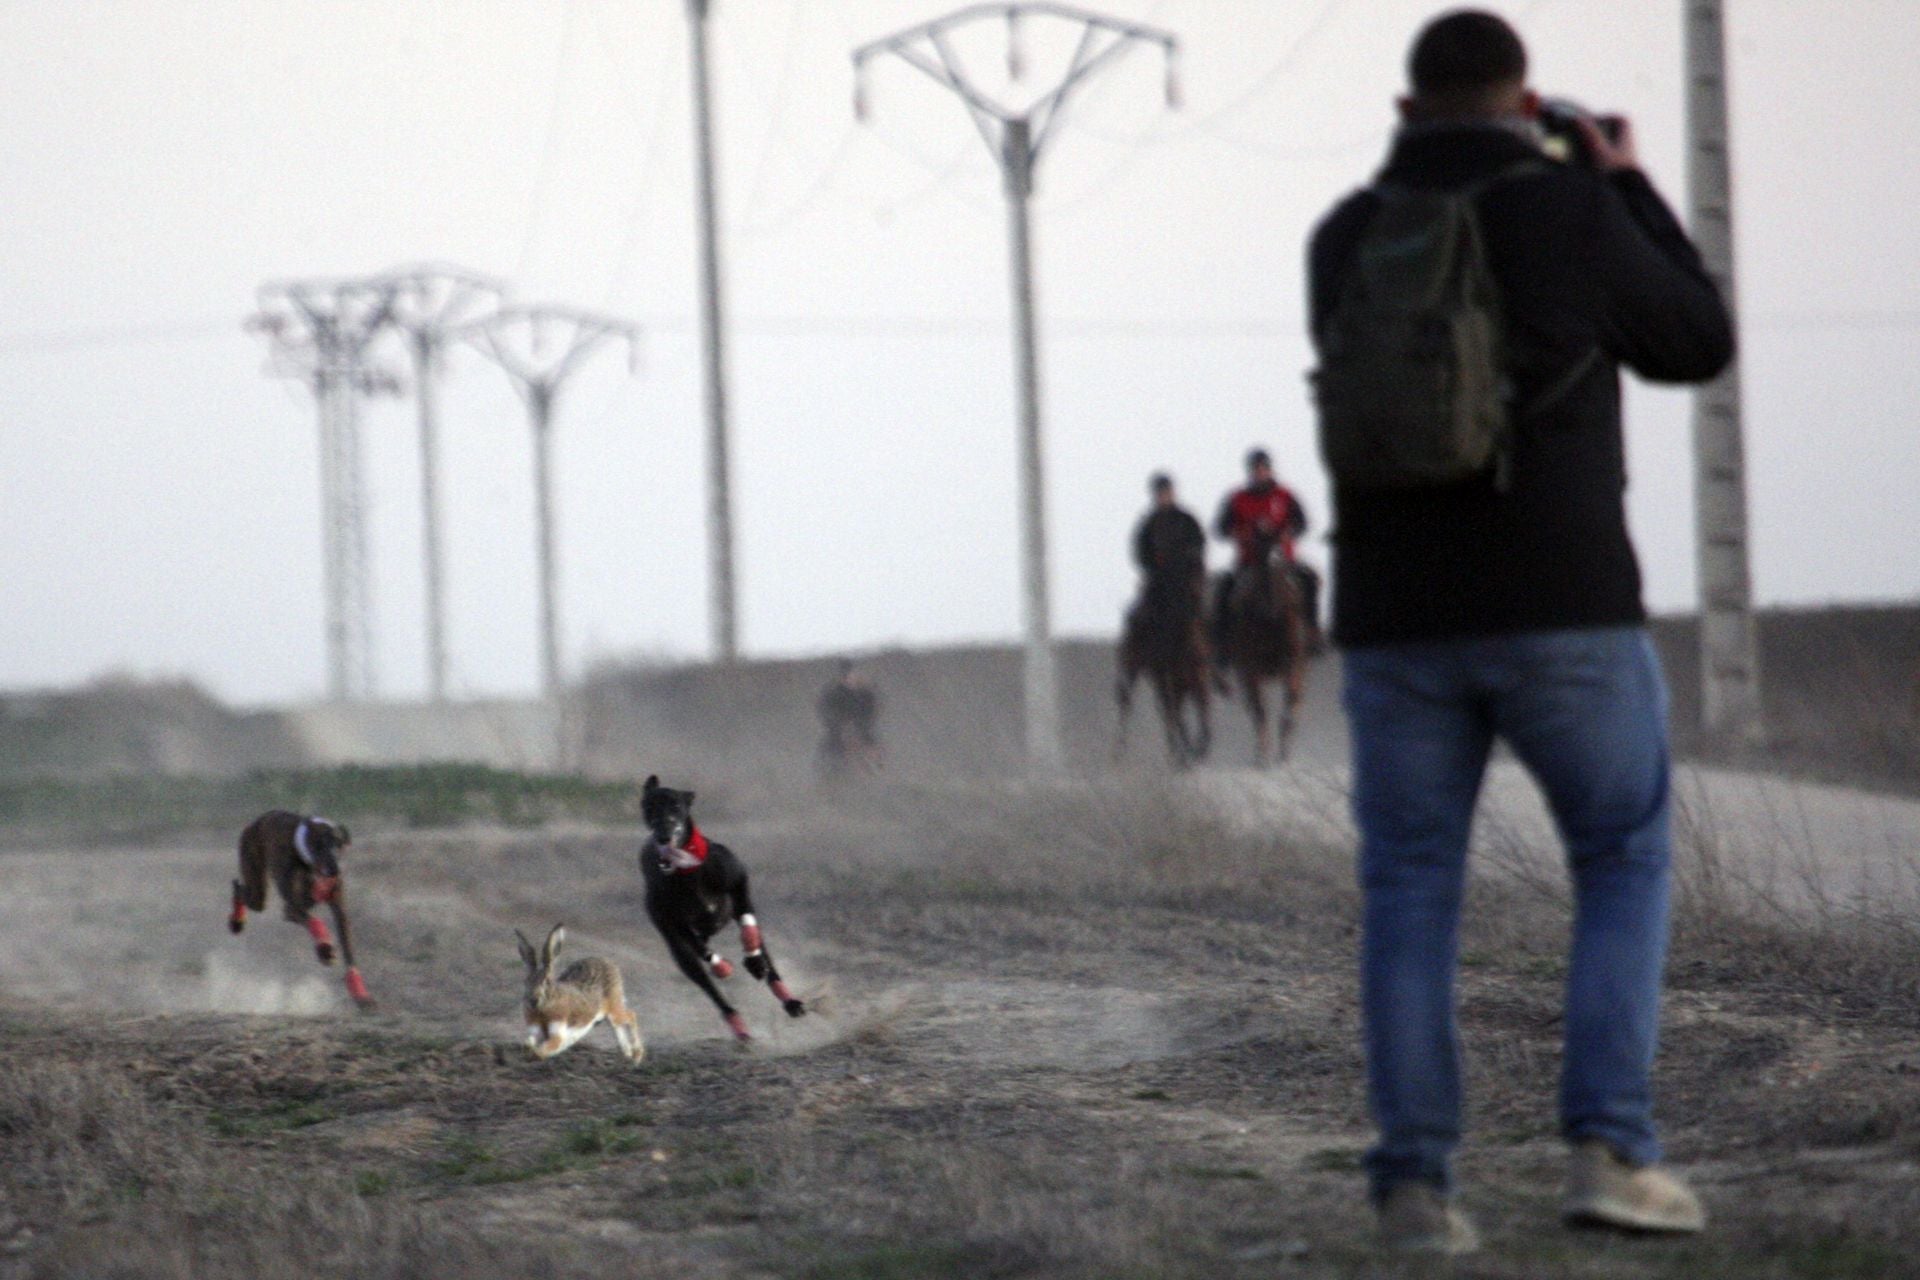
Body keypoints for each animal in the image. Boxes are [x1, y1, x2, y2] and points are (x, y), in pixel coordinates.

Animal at [1121, 571, 1205, 771]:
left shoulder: (1198, 683)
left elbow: (1201, 717)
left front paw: (1195, 751)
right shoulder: (1171, 684)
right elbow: (1177, 717)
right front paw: (1185, 755)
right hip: (1133, 667)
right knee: (1126, 698)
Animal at [1221, 537, 1313, 767]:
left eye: (1280, 542)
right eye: (1256, 544)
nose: (1273, 559)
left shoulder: (1293, 664)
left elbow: (1290, 704)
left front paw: (1284, 753)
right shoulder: (1250, 668)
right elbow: (1259, 709)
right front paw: (1262, 756)